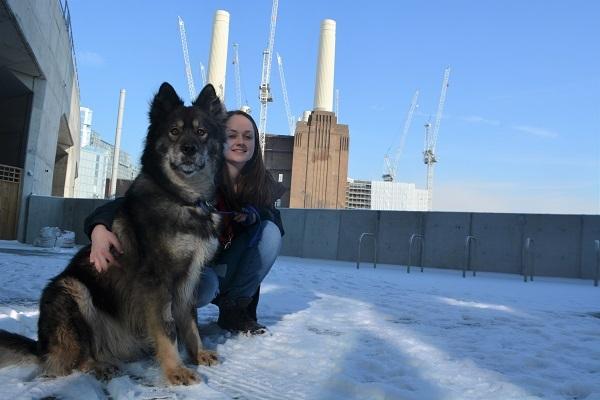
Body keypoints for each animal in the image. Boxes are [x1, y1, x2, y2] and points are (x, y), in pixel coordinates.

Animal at [0, 83, 225, 386]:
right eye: (174, 131)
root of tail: (41, 347)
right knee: (75, 359)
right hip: (71, 289)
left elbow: (190, 322)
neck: (181, 197)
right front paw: (175, 370)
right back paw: (99, 367)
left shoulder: (189, 278)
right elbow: (168, 329)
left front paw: (198, 354)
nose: (188, 149)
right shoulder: (156, 281)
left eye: (201, 132)